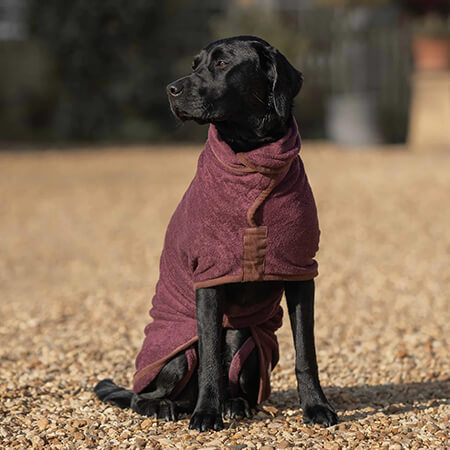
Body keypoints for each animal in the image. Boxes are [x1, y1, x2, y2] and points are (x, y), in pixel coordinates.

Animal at [95, 36, 336, 432]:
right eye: (195, 65)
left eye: (222, 63)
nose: (171, 89)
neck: (254, 157)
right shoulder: (209, 277)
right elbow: (208, 356)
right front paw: (206, 414)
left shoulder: (301, 271)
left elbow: (306, 351)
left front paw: (316, 407)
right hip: (176, 355)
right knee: (141, 395)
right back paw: (170, 407)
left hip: (248, 344)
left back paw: (235, 404)